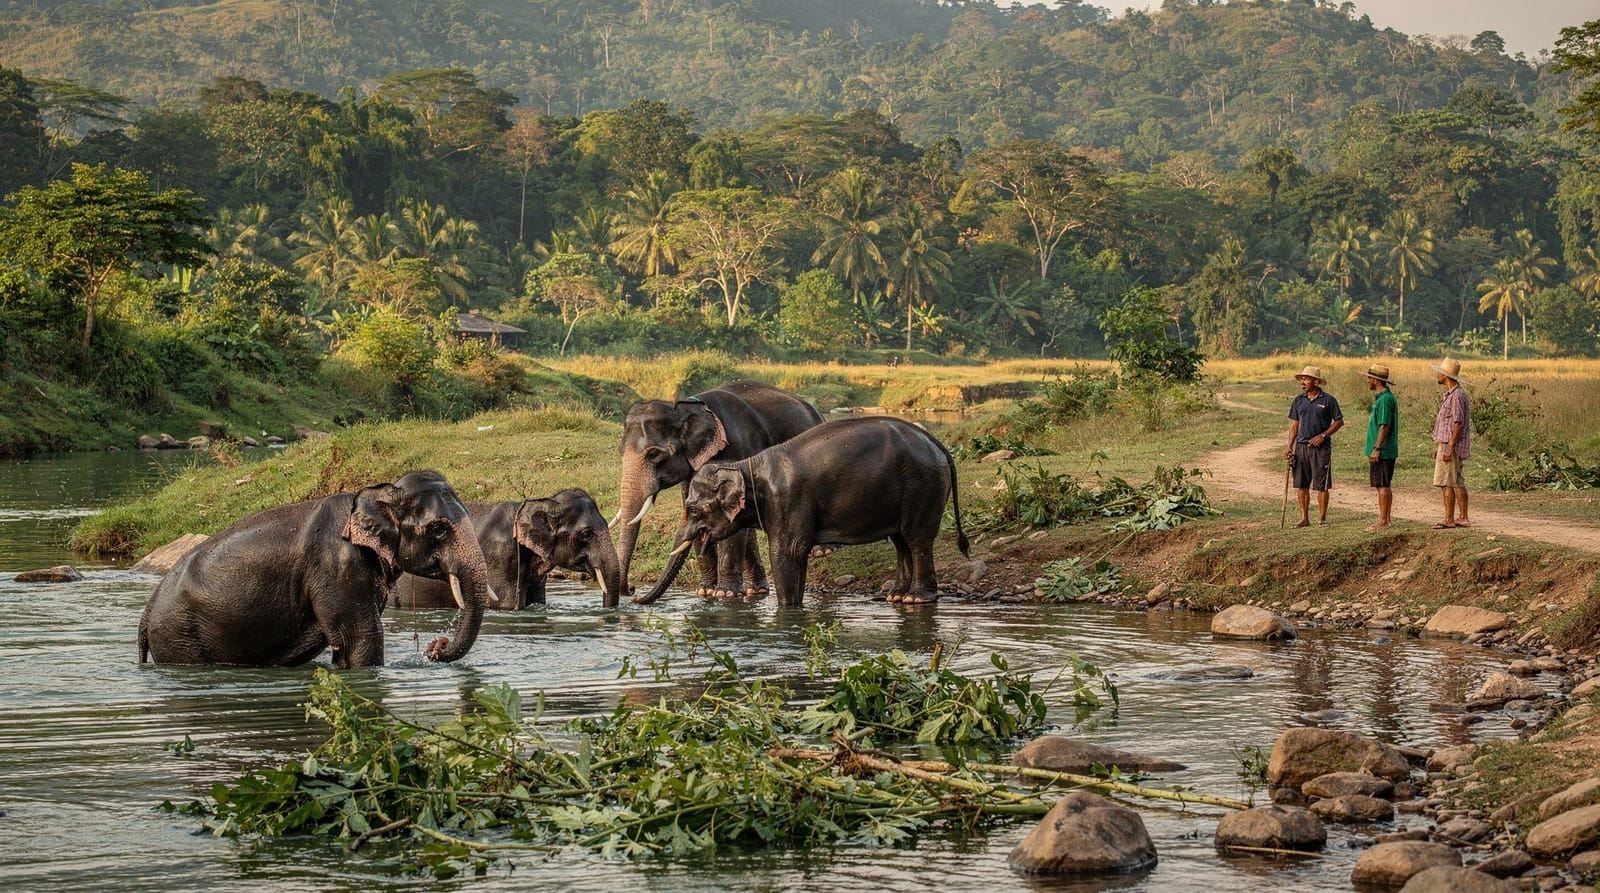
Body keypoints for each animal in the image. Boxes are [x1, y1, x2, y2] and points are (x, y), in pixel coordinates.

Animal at [138, 470, 492, 667]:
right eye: (439, 529)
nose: (434, 647)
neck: (378, 492)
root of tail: (147, 612)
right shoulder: (339, 567)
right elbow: (361, 640)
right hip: (179, 636)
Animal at [614, 379, 822, 600]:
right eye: (621, 452)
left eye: (653, 454)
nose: (632, 591)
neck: (686, 407)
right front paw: (705, 591)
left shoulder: (740, 450)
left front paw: (725, 594)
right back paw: (755, 590)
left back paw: (819, 551)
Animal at [634, 417, 969, 608]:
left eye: (692, 509)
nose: (635, 595)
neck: (746, 465)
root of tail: (938, 445)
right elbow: (798, 557)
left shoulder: (787, 500)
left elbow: (786, 553)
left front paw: (788, 610)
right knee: (901, 542)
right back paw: (897, 597)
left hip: (923, 487)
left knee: (916, 540)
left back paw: (916, 599)